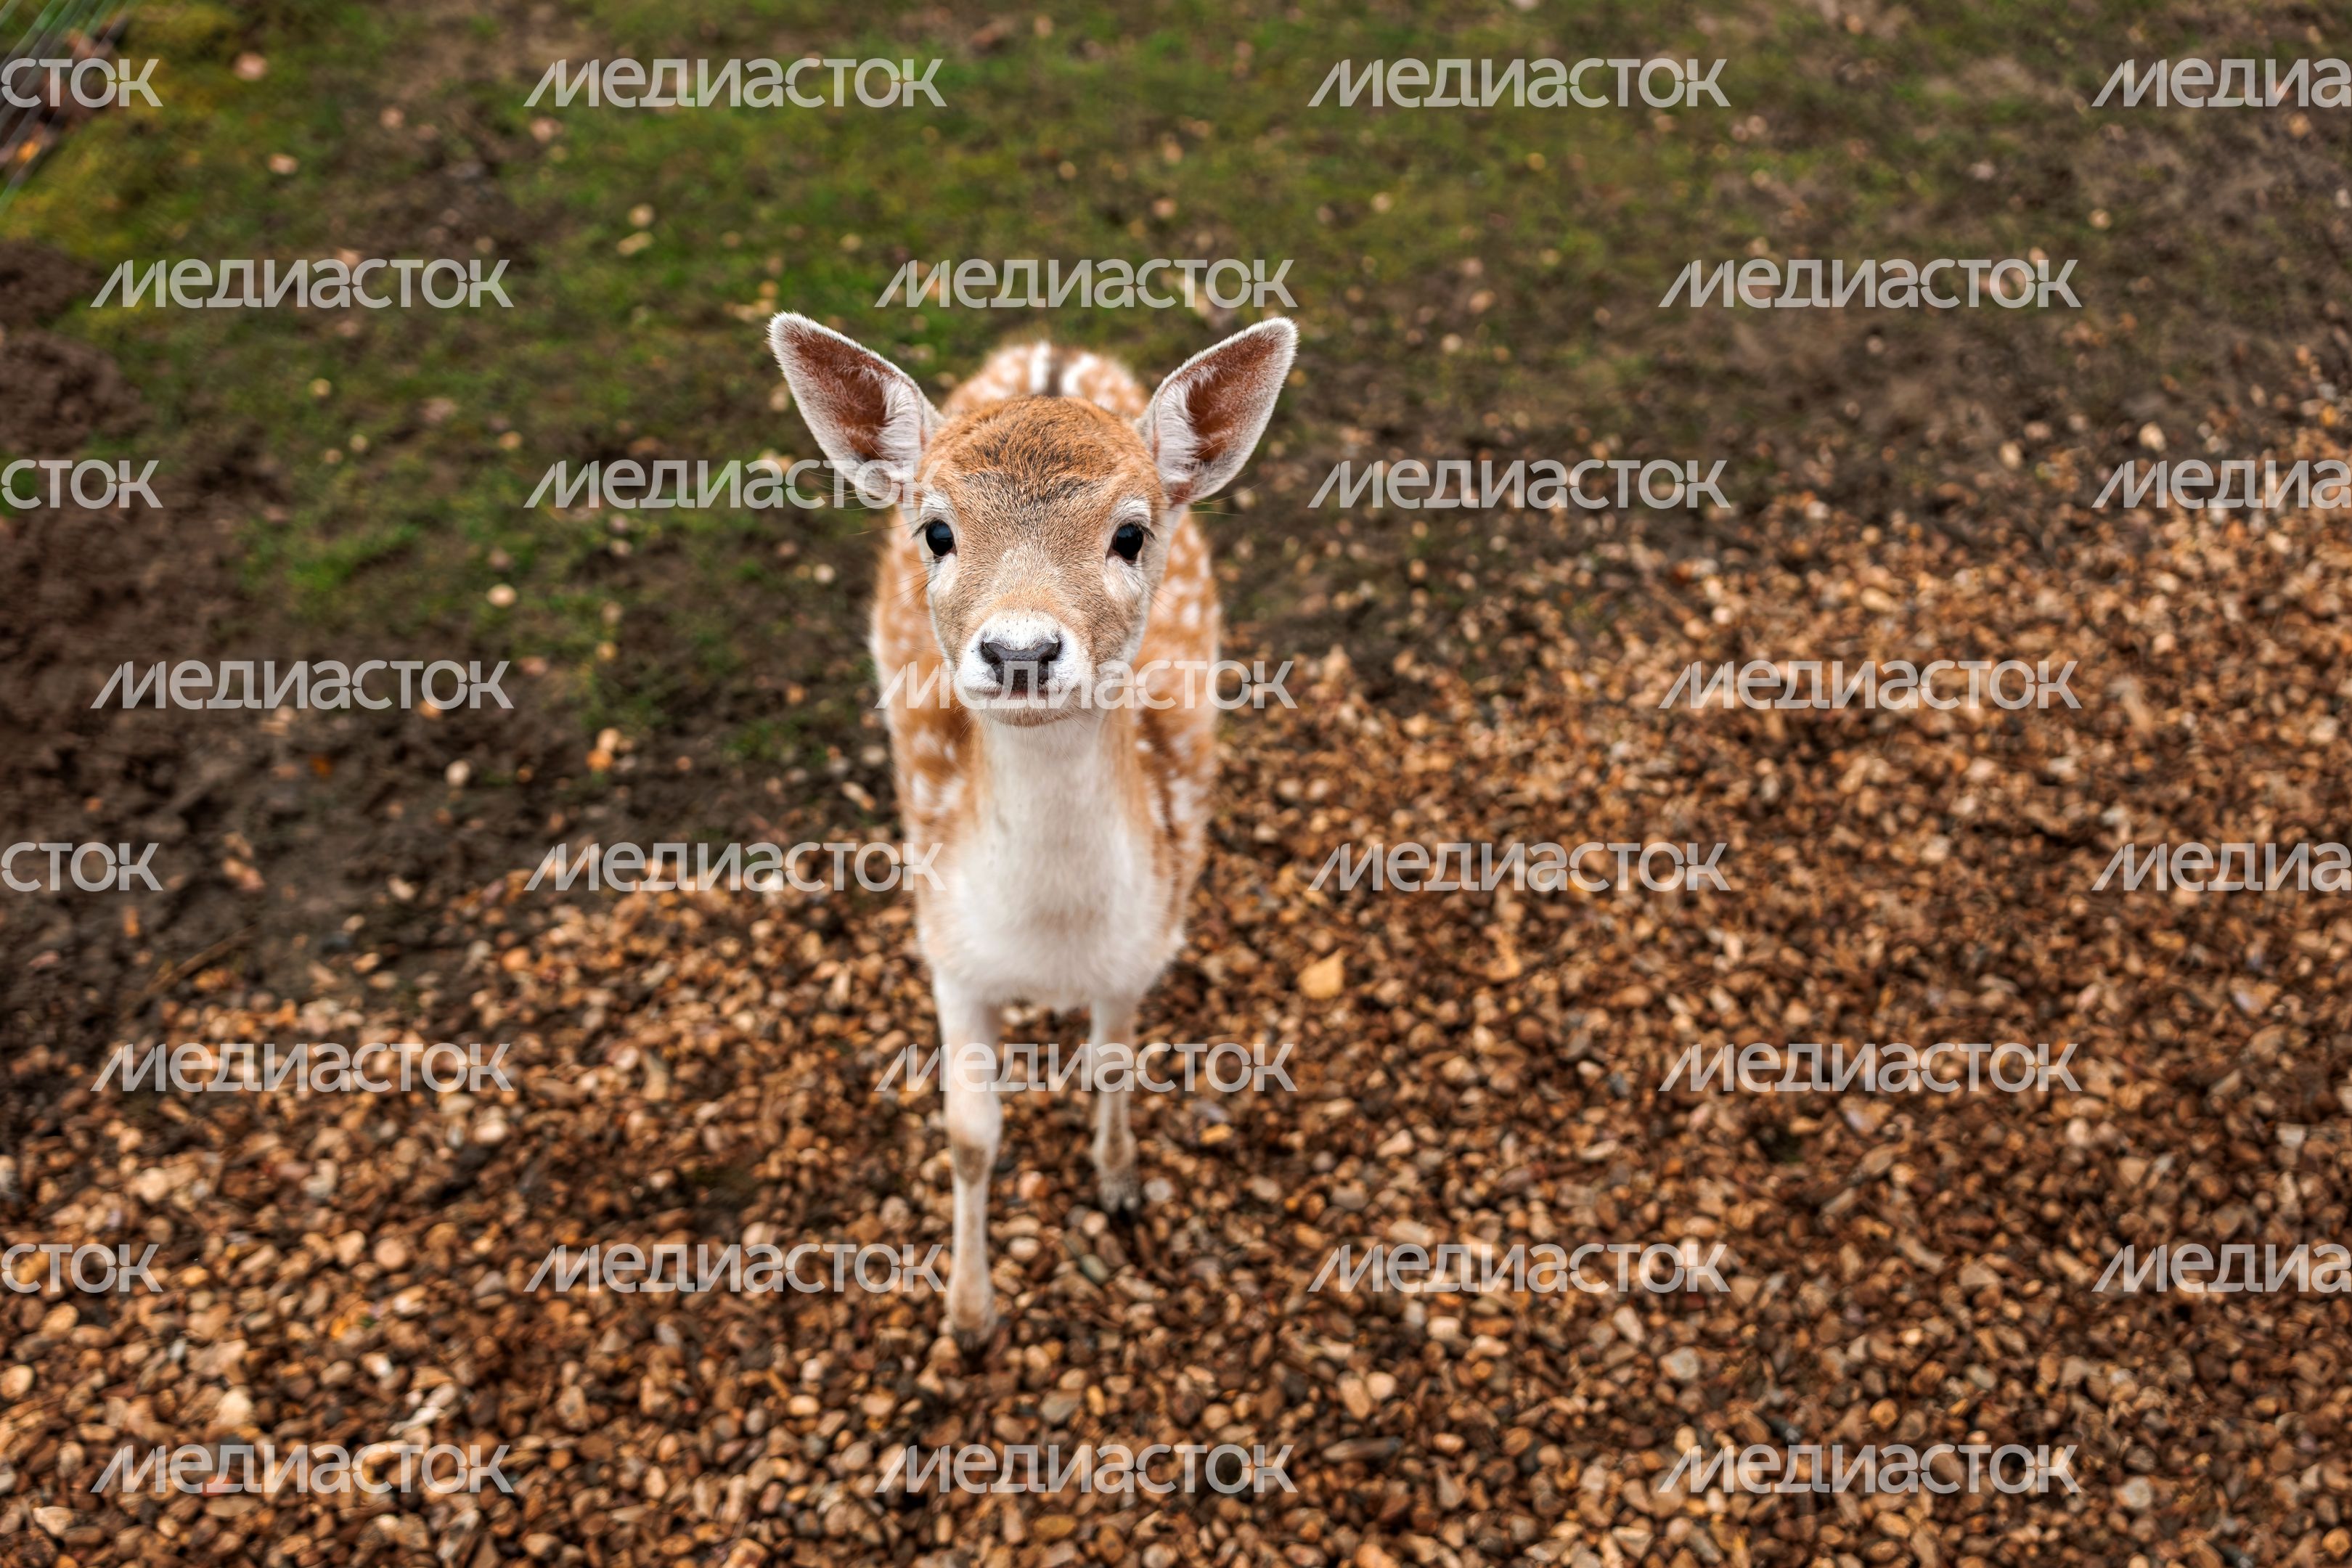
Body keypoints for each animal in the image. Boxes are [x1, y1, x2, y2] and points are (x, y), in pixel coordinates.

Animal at [766, 313, 1296, 1350]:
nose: (1021, 650)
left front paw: (1122, 1182)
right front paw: (969, 1319)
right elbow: (971, 1137)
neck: (1052, 948)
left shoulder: (1145, 942)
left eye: (1132, 532)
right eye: (937, 530)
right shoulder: (949, 951)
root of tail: (1050, 350)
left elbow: (1113, 1061)